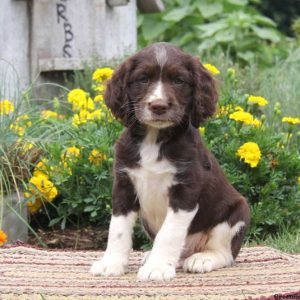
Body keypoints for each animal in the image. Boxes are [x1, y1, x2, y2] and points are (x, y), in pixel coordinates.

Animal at [90, 42, 250, 282]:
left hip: (237, 213)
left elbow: (169, 232)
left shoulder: (186, 190)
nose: (159, 106)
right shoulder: (124, 184)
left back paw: (202, 259)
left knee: (225, 253)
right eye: (143, 79)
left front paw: (157, 268)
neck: (154, 139)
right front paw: (111, 263)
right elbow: (117, 228)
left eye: (179, 80)